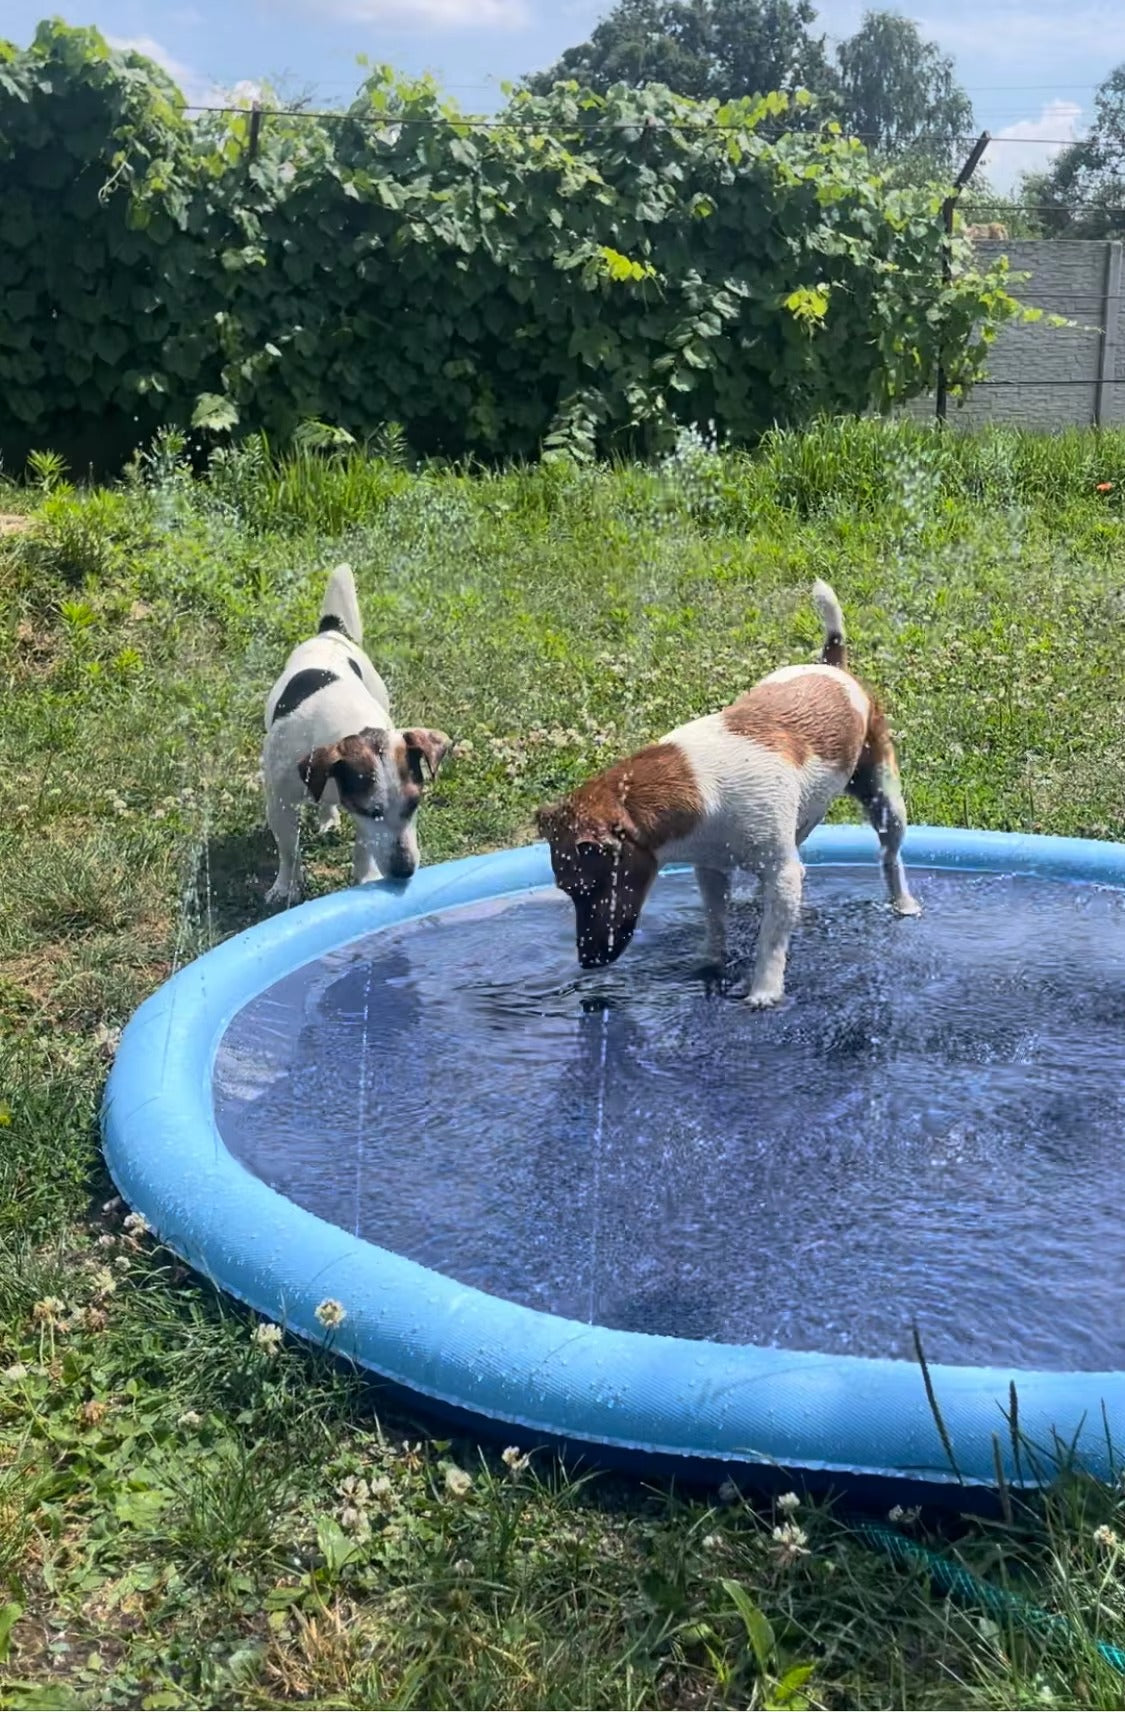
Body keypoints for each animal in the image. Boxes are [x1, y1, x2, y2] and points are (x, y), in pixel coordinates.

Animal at [263, 564, 452, 910]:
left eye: (414, 803)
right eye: (372, 811)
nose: (405, 871)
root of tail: (332, 632)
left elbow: (364, 848)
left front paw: (365, 879)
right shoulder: (280, 802)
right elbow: (289, 850)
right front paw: (286, 887)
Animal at [537, 582, 924, 999]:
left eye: (587, 890)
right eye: (567, 890)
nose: (586, 962)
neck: (695, 786)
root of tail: (830, 665)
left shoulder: (782, 874)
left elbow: (771, 943)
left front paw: (763, 993)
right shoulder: (711, 869)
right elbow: (716, 921)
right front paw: (711, 962)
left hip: (884, 798)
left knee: (890, 856)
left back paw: (904, 903)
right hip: (802, 821)